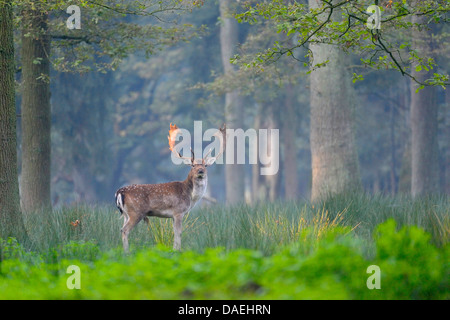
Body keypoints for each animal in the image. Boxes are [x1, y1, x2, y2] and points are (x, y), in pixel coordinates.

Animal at [112, 122, 225, 252]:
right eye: (192, 166)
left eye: (205, 165)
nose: (200, 170)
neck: (191, 197)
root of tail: (119, 192)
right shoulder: (178, 211)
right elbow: (179, 232)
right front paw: (178, 250)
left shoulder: (173, 215)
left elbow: (175, 232)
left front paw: (174, 249)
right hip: (136, 212)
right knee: (124, 230)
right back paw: (127, 253)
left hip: (126, 214)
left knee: (122, 229)